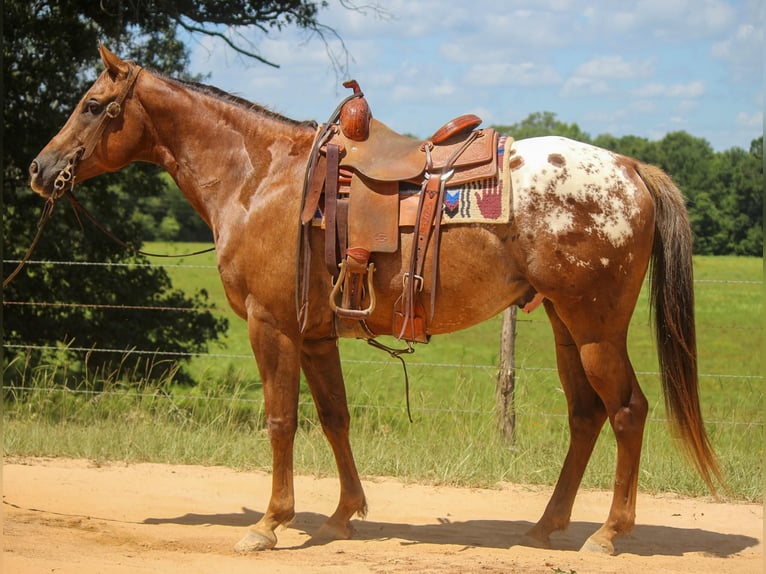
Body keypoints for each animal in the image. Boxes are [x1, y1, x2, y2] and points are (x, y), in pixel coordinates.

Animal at [25, 45, 720, 560]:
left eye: (93, 105)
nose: (39, 169)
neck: (260, 176)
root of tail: (630, 169)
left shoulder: (271, 327)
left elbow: (281, 421)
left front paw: (270, 524)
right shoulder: (314, 334)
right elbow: (335, 418)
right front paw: (341, 515)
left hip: (595, 326)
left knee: (627, 411)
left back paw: (607, 533)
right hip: (563, 324)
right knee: (586, 415)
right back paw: (546, 525)